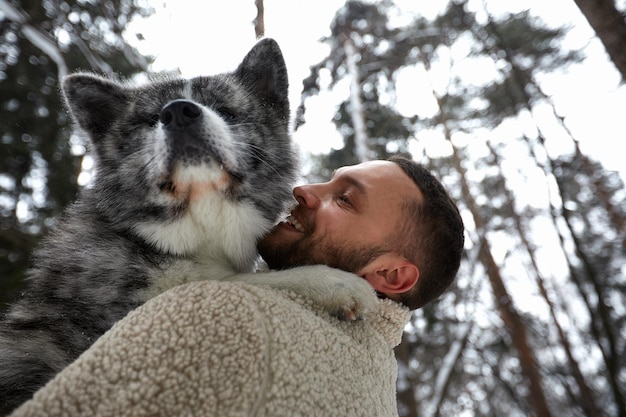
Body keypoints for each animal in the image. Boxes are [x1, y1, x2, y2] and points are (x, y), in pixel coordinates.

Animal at [0, 38, 376, 412]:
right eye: (153, 119)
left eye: (225, 110)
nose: (179, 112)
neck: (201, 220)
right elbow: (238, 280)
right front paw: (332, 281)